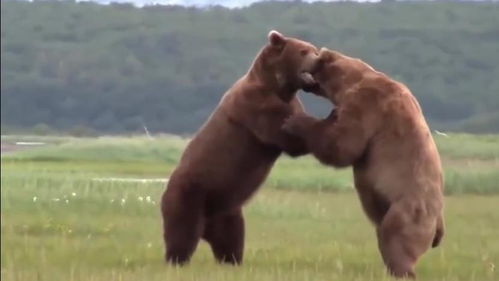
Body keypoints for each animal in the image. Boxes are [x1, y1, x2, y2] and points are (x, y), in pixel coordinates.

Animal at [162, 30, 320, 264]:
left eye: (314, 49)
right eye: (303, 51)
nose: (317, 59)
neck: (278, 87)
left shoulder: (290, 102)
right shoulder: (256, 107)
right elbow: (286, 136)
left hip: (227, 212)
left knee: (231, 239)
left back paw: (231, 261)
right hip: (189, 194)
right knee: (182, 234)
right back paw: (176, 260)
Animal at [284, 47, 448, 276]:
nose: (304, 78)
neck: (348, 83)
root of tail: (437, 222)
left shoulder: (368, 104)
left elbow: (343, 145)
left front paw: (295, 121)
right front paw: (329, 115)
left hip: (408, 210)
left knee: (396, 239)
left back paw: (400, 271)